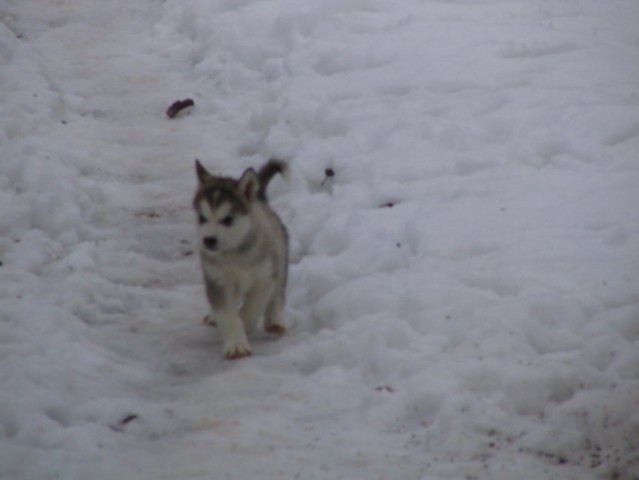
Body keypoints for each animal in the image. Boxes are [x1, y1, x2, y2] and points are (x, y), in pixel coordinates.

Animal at [191, 159, 288, 358]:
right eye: (202, 218)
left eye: (228, 219)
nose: (208, 240)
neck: (235, 255)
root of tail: (260, 198)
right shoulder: (217, 280)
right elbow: (227, 314)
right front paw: (236, 345)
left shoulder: (265, 277)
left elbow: (253, 306)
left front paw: (245, 322)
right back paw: (213, 316)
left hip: (280, 257)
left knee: (277, 294)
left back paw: (275, 321)